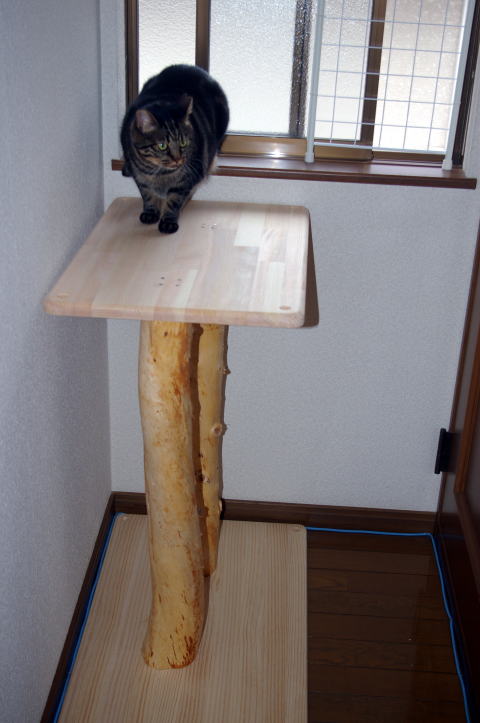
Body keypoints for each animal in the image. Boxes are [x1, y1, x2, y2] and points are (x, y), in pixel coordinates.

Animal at [121, 64, 229, 234]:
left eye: (183, 143)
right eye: (162, 145)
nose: (178, 159)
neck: (158, 173)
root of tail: (191, 67)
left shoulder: (185, 180)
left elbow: (174, 201)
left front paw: (168, 221)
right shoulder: (140, 178)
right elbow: (147, 195)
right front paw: (150, 212)